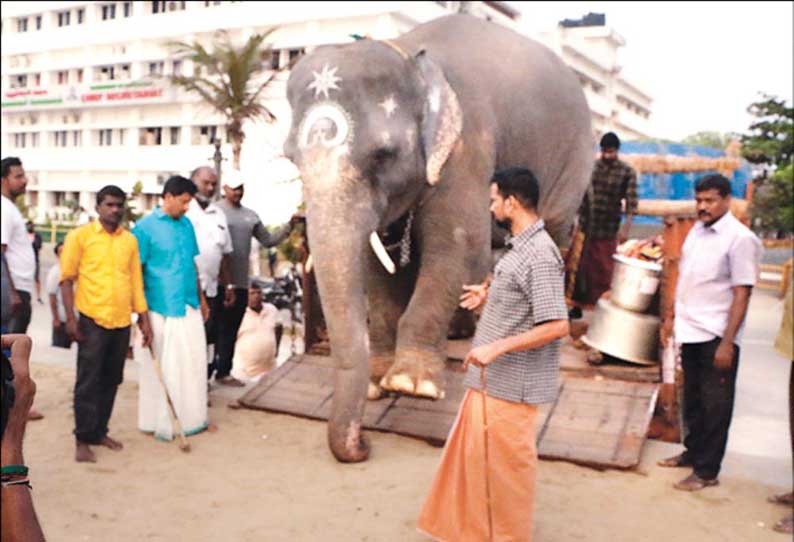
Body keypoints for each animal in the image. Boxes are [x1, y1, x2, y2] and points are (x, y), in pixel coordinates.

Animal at [282, 13, 592, 464]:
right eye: (291, 158)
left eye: (383, 154)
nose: (362, 444)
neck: (409, 52)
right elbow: (380, 265)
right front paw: (380, 380)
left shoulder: (467, 146)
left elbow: (459, 246)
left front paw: (412, 385)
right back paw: (460, 332)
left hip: (574, 163)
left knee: (548, 234)